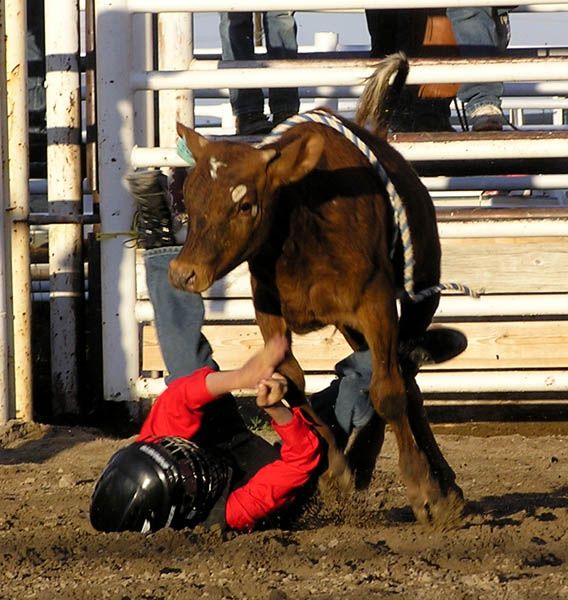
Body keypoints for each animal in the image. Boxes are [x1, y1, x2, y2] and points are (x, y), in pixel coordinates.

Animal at [171, 54, 464, 528]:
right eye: (192, 199)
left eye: (245, 204)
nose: (183, 274)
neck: (302, 232)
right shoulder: (270, 310)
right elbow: (292, 382)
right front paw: (336, 469)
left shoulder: (377, 306)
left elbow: (388, 393)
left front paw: (423, 493)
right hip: (353, 328)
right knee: (402, 374)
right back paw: (379, 467)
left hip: (421, 296)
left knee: (403, 376)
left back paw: (438, 485)